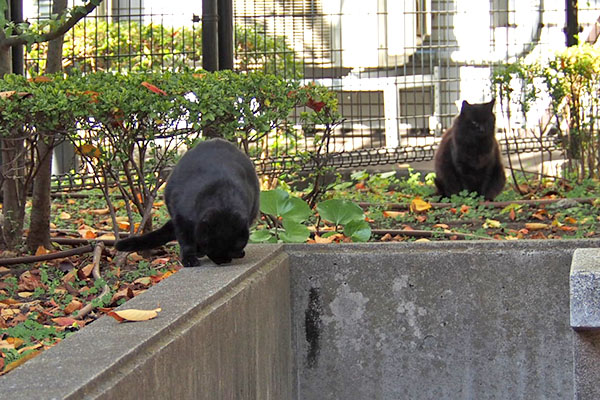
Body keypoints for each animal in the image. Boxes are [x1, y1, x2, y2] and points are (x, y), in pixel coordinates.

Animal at [115, 139, 260, 268]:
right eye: (212, 250)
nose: (223, 261)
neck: (222, 200)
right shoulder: (181, 218)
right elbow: (186, 242)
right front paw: (189, 259)